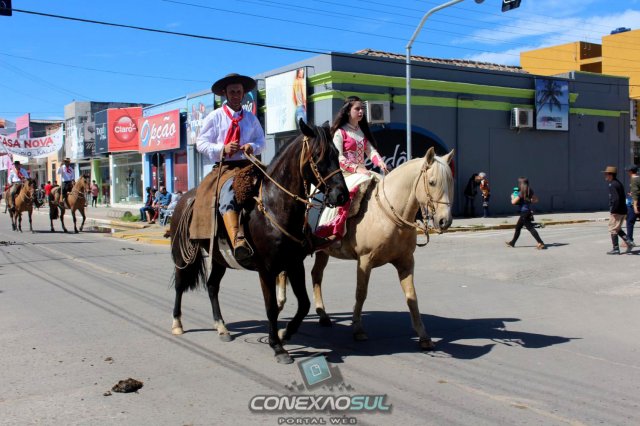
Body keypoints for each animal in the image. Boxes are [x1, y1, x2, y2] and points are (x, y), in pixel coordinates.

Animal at [168, 120, 349, 364]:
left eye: (337, 153)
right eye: (318, 155)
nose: (342, 196)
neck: (275, 206)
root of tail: (184, 198)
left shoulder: (294, 264)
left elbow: (304, 303)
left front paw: (285, 333)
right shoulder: (267, 269)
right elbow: (271, 307)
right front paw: (277, 347)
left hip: (219, 258)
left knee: (212, 286)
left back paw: (221, 328)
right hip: (181, 254)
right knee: (180, 285)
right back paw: (177, 323)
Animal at [278, 147, 455, 351]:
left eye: (450, 182)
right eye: (432, 182)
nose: (444, 221)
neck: (387, 214)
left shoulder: (406, 262)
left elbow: (412, 296)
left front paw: (423, 336)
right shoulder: (365, 260)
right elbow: (361, 293)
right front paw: (358, 329)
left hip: (323, 251)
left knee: (316, 275)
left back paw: (322, 315)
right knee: (284, 272)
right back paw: (280, 301)